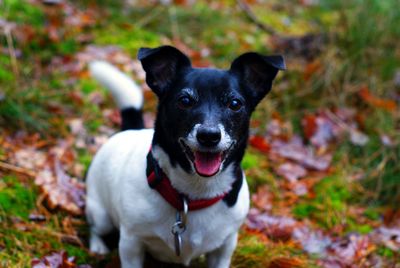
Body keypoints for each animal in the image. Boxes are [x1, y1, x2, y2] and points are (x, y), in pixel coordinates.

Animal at [85, 45, 284, 266]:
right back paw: (97, 246)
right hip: (101, 215)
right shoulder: (131, 244)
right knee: (95, 228)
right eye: (185, 101)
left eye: (234, 103)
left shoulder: (224, 247)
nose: (209, 135)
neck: (194, 195)